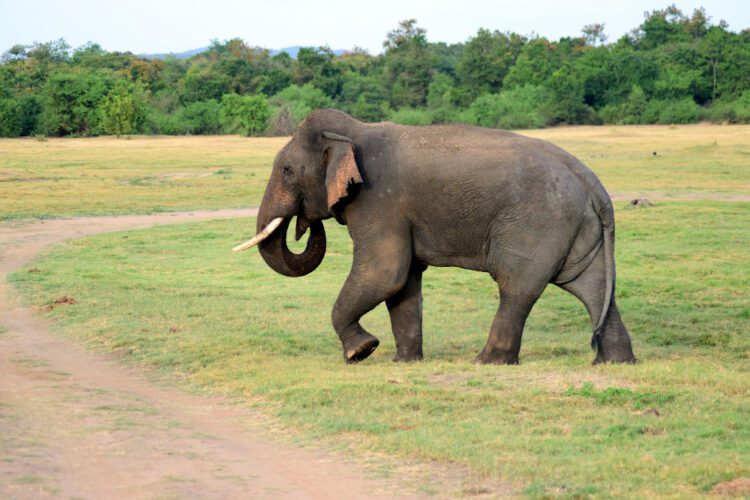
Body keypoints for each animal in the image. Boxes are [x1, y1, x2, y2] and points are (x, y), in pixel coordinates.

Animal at [234, 109, 636, 365]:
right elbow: (403, 282)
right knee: (593, 287)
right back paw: (614, 362)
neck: (355, 130)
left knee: (517, 288)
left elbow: (385, 272)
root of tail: (594, 185)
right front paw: (405, 361)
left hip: (537, 224)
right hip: (576, 228)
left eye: (287, 170)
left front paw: (361, 352)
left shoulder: (379, 201)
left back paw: (486, 362)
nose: (304, 223)